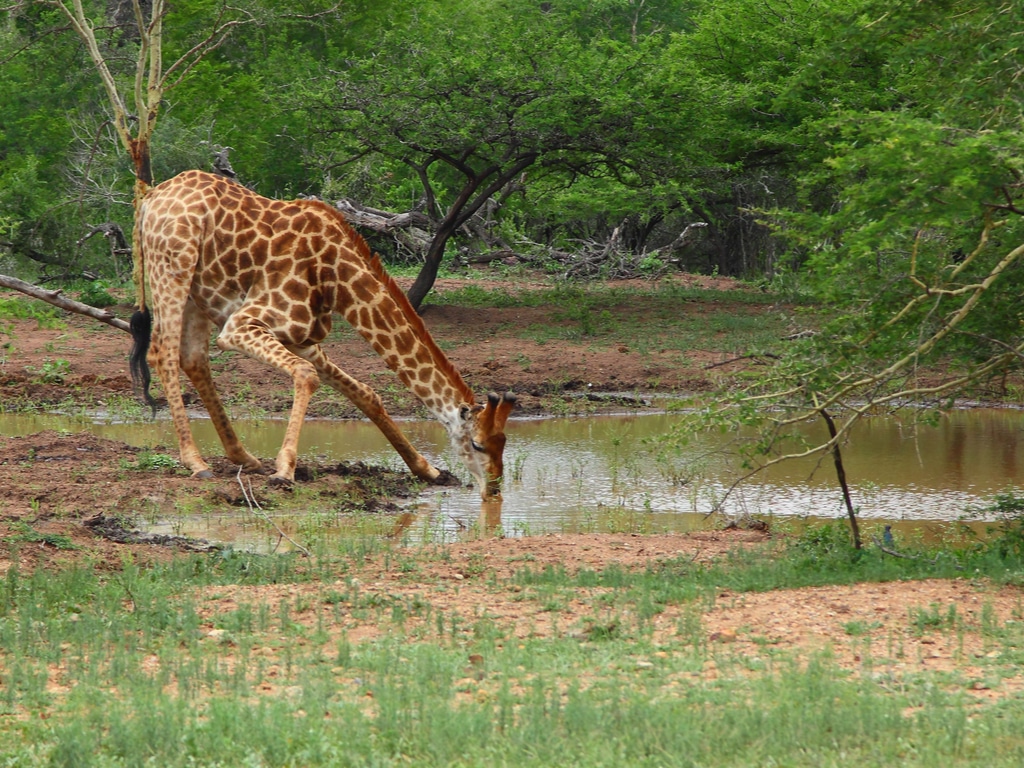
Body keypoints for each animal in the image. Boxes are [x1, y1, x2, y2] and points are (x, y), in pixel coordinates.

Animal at [126, 169, 512, 499]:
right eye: (477, 444)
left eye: (504, 443)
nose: (494, 489)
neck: (334, 279)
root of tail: (150, 198)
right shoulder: (243, 324)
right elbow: (306, 375)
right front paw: (284, 471)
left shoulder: (303, 339)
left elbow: (366, 394)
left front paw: (428, 470)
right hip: (171, 268)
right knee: (162, 352)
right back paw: (196, 462)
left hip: (197, 290)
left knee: (193, 358)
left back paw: (244, 457)